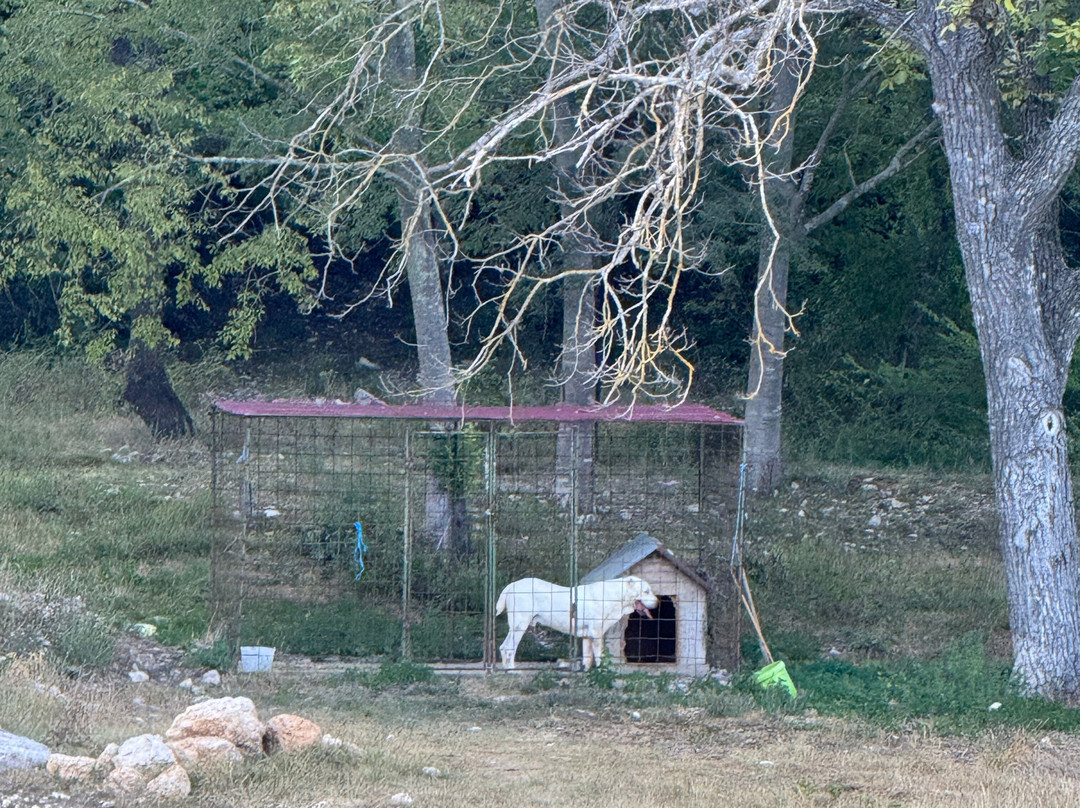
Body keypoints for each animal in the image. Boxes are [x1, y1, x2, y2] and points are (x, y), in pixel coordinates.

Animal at [494, 578, 656, 674]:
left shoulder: (587, 636)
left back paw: (506, 670)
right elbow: (599, 656)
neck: (616, 596)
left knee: (503, 646)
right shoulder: (596, 634)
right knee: (509, 648)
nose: (658, 601)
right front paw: (602, 670)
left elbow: (587, 657)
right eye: (646, 591)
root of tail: (511, 586)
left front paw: (585, 672)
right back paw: (512, 670)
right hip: (520, 625)